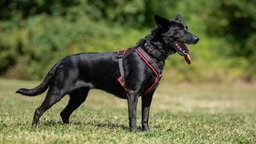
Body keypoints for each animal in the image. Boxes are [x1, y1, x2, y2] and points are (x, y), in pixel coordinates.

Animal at [16, 14, 200, 132]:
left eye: (187, 28)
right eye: (179, 30)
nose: (197, 39)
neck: (152, 53)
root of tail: (61, 61)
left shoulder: (149, 95)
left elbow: (145, 115)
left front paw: (147, 132)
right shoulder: (133, 93)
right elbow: (133, 115)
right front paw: (134, 132)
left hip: (79, 96)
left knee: (64, 113)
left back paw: (69, 128)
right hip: (57, 91)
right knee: (39, 109)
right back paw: (35, 128)